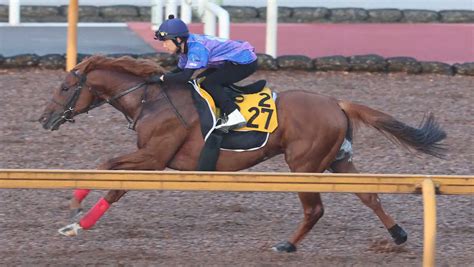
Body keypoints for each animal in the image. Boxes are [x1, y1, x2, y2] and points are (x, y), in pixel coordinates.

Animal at [39, 56, 446, 253]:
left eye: (64, 86)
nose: (44, 118)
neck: (149, 98)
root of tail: (337, 102)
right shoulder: (151, 160)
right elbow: (115, 185)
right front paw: (77, 223)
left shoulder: (154, 158)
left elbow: (105, 167)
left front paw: (75, 207)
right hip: (337, 161)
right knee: (369, 194)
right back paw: (397, 235)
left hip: (304, 165)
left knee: (314, 210)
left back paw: (287, 245)